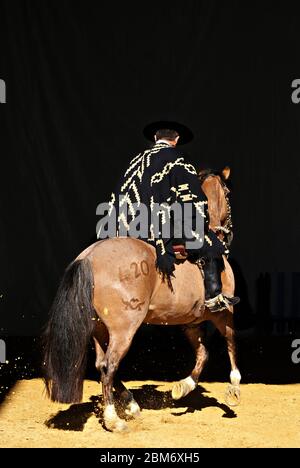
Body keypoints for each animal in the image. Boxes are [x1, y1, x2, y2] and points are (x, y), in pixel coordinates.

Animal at [42, 166, 241, 434]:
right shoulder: (223, 312)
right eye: (228, 194)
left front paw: (184, 386)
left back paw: (130, 404)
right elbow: (230, 342)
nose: (228, 233)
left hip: (99, 328)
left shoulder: (190, 321)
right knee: (109, 366)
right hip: (124, 328)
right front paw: (234, 388)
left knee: (102, 364)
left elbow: (203, 354)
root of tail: (89, 256)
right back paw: (114, 419)